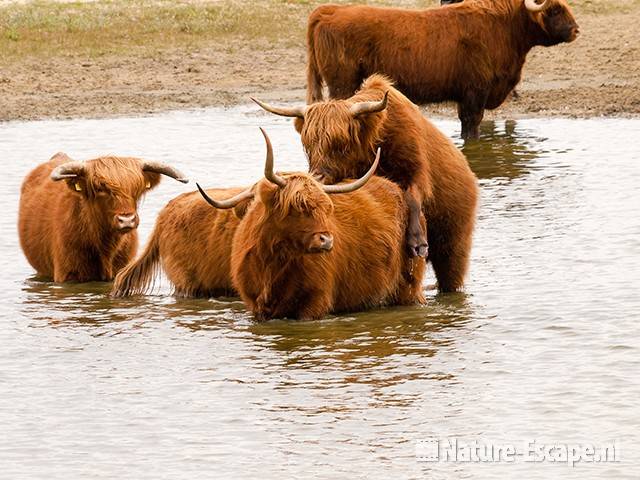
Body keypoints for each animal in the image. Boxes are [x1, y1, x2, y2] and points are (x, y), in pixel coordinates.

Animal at [198, 129, 428, 320]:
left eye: (327, 209)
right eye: (296, 207)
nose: (326, 240)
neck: (272, 265)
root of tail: (398, 189)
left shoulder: (315, 303)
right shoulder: (255, 306)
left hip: (409, 288)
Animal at [252, 75, 478, 292]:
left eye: (340, 144)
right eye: (308, 146)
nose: (318, 177)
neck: (378, 139)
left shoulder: (417, 170)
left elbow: (413, 199)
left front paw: (417, 243)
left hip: (454, 249)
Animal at [304, 0, 580, 139]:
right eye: (555, 9)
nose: (576, 29)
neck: (504, 27)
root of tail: (330, 10)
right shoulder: (475, 92)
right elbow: (471, 125)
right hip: (342, 84)